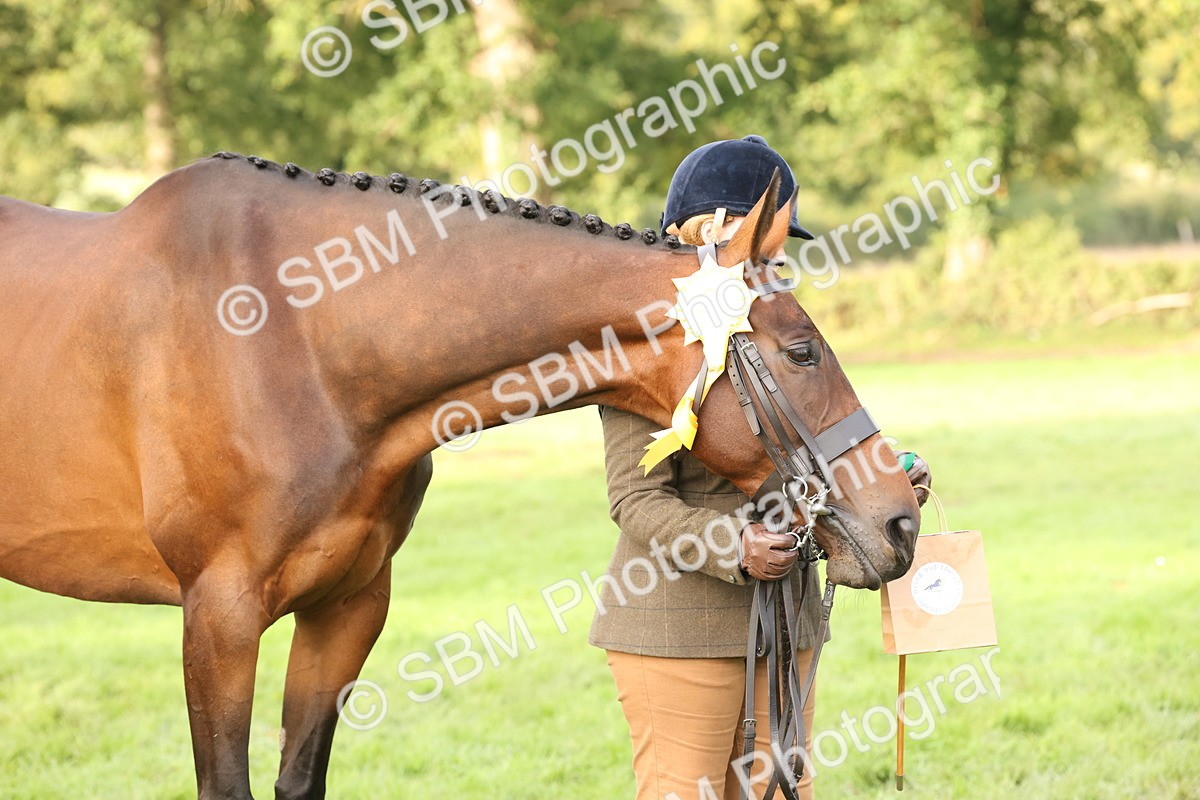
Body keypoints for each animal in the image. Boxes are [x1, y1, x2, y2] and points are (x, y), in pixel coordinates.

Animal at [0, 153, 920, 799]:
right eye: (801, 352)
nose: (901, 521)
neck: (289, 335)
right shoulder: (218, 618)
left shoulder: (347, 608)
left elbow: (301, 777)